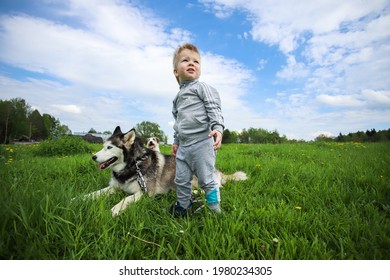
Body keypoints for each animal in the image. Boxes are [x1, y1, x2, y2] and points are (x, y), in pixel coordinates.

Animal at [82, 126, 247, 217]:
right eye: (103, 146)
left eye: (109, 147)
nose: (93, 157)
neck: (133, 165)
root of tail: (218, 170)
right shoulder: (114, 187)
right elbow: (95, 193)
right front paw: (80, 199)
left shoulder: (145, 192)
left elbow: (125, 199)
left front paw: (114, 210)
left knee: (211, 188)